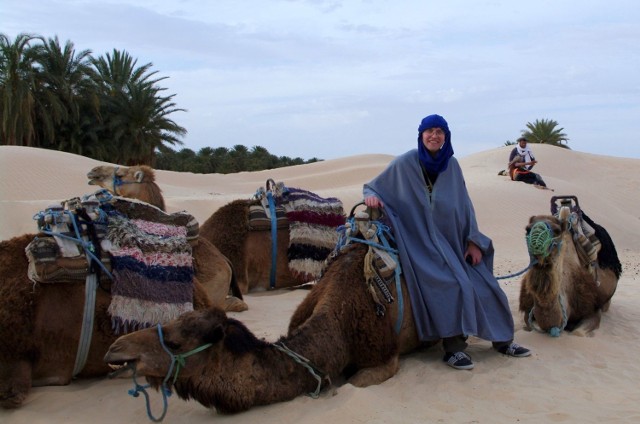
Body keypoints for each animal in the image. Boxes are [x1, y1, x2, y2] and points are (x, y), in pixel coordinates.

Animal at [516, 205, 624, 338]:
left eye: (557, 230)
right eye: (527, 229)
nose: (537, 246)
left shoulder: (592, 309)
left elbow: (578, 333)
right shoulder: (528, 310)